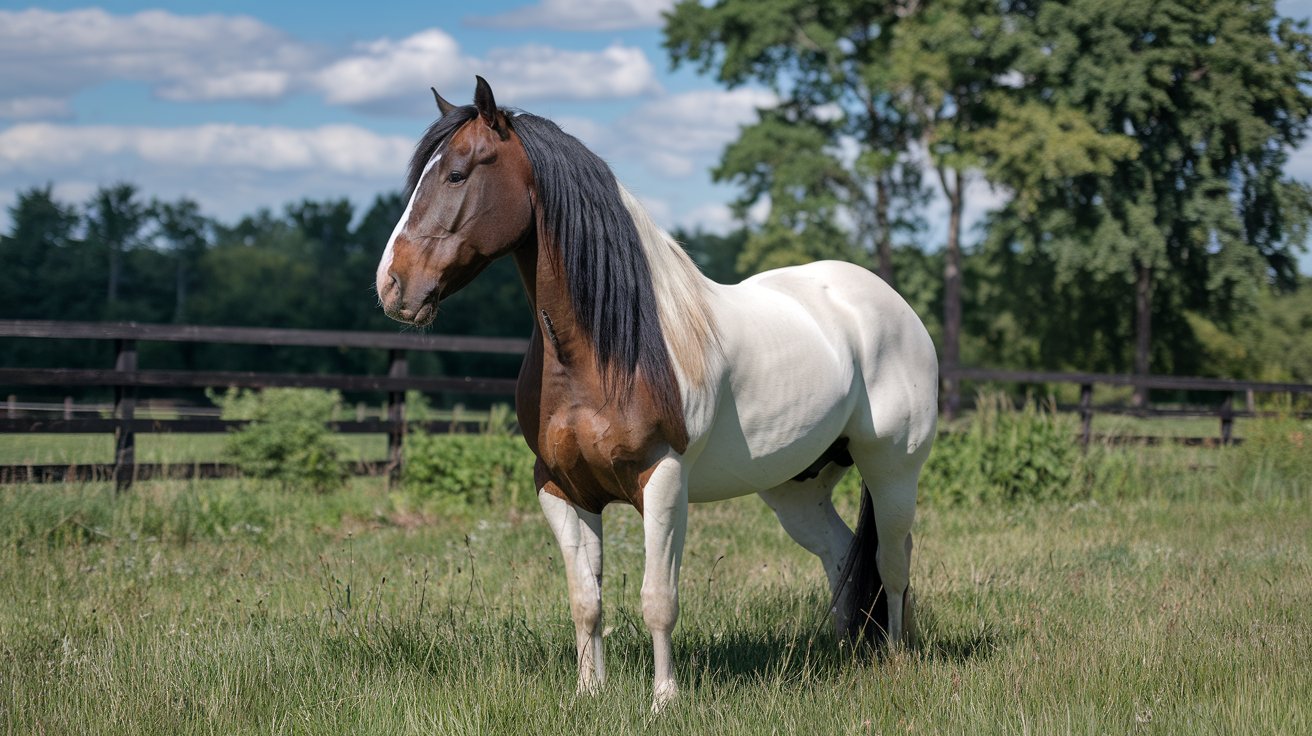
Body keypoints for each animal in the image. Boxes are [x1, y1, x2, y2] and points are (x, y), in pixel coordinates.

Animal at [375, 77, 938, 711]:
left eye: (457, 174)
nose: (392, 286)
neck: (609, 350)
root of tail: (889, 303)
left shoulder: (662, 480)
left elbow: (657, 599)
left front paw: (664, 698)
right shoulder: (559, 488)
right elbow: (585, 600)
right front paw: (588, 693)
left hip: (893, 469)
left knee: (893, 560)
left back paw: (894, 660)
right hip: (797, 486)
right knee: (842, 556)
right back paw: (847, 656)